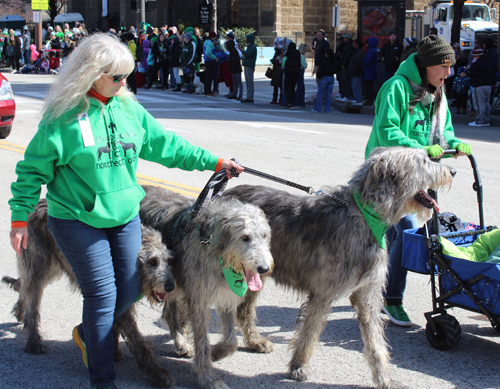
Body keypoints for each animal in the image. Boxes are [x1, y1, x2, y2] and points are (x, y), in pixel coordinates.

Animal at [1, 200, 176, 388]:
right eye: (152, 262)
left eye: (169, 261)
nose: (170, 286)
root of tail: (35, 206)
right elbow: (137, 339)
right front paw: (156, 373)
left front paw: (113, 351)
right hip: (38, 261)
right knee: (32, 297)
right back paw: (33, 340)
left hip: (54, 265)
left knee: (25, 287)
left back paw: (19, 311)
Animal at [140, 184, 274, 388]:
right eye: (245, 237)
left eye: (264, 235)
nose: (264, 268)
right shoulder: (199, 297)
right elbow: (202, 340)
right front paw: (208, 377)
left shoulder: (226, 293)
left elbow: (231, 340)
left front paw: (216, 352)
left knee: (169, 312)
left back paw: (181, 343)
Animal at [224, 147, 458, 386]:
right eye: (423, 161)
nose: (453, 171)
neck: (364, 217)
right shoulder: (323, 291)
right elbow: (309, 331)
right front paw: (298, 366)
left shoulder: (367, 293)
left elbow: (375, 341)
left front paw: (385, 379)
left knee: (244, 309)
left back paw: (255, 341)